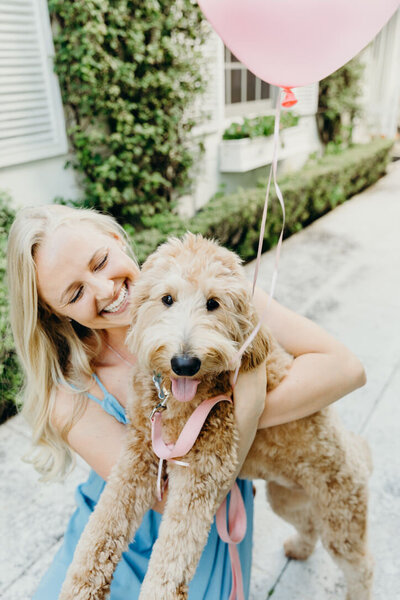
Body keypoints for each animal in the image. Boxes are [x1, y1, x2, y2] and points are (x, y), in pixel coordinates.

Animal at [58, 233, 372, 600]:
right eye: (167, 299)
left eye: (213, 303)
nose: (184, 363)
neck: (179, 399)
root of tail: (358, 450)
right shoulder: (138, 457)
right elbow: (103, 524)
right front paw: (79, 586)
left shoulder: (202, 472)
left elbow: (172, 556)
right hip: (286, 498)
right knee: (308, 526)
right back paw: (299, 548)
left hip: (341, 513)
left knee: (360, 566)